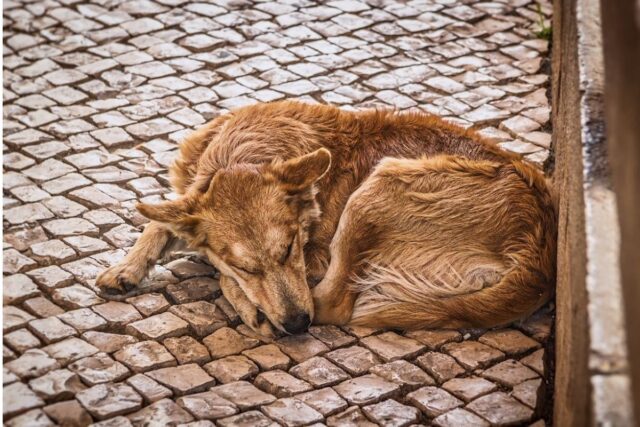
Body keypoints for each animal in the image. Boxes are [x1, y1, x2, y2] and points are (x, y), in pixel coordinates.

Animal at [96, 101, 556, 338]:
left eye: (290, 250)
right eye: (250, 266)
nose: (298, 325)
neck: (244, 151)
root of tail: (540, 260)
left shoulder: (314, 258)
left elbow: (216, 268)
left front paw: (245, 300)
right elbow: (161, 219)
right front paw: (126, 268)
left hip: (376, 189)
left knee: (333, 304)